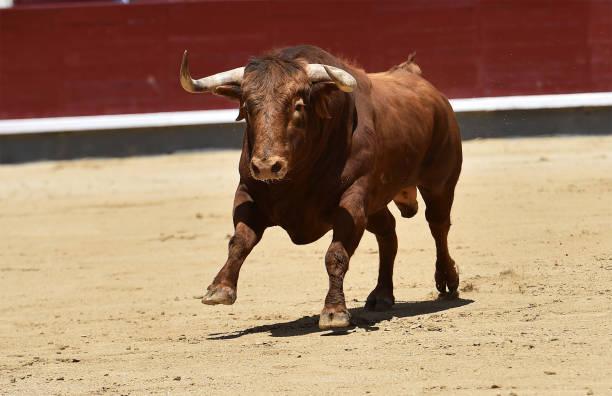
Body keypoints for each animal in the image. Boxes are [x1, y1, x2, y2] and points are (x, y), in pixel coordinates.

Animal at [179, 44, 462, 330]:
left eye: (299, 105)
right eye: (247, 107)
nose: (267, 167)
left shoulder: (353, 199)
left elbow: (335, 255)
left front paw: (334, 311)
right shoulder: (248, 193)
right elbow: (239, 240)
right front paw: (219, 289)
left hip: (439, 183)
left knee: (438, 225)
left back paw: (447, 281)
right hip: (375, 204)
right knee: (388, 232)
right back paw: (382, 294)